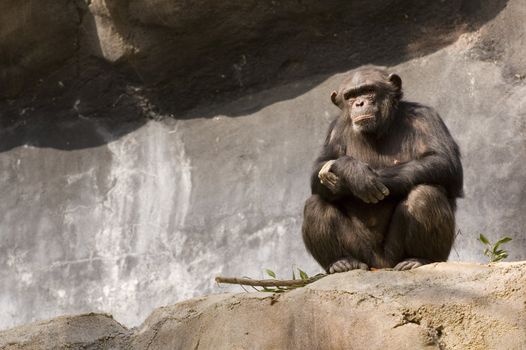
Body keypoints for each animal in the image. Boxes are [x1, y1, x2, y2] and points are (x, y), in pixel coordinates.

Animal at [304, 66, 464, 274]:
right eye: (350, 96)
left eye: (368, 90)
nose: (359, 103)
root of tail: (380, 266)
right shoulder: (335, 129)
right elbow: (318, 169)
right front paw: (351, 171)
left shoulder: (426, 117)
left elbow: (444, 161)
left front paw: (357, 177)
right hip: (362, 252)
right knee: (315, 204)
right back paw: (341, 262)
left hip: (395, 255)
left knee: (425, 194)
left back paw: (419, 259)